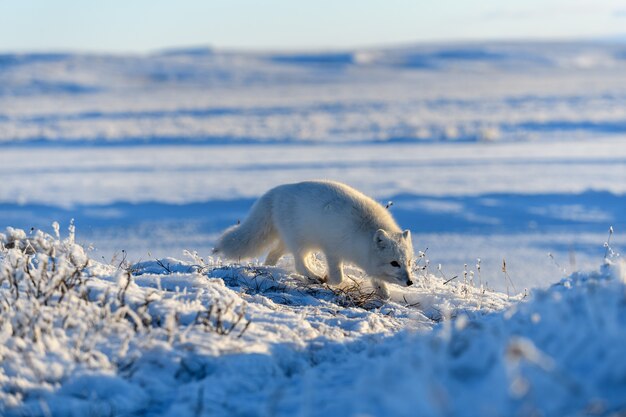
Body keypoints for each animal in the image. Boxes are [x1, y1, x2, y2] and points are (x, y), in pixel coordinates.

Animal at [214, 180, 414, 298]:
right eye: (394, 263)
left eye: (408, 262)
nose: (410, 282)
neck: (362, 231)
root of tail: (276, 191)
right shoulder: (332, 250)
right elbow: (338, 277)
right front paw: (327, 279)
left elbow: (379, 284)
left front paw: (384, 294)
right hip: (300, 243)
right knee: (298, 264)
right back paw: (314, 277)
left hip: (293, 242)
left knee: (273, 254)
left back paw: (268, 270)